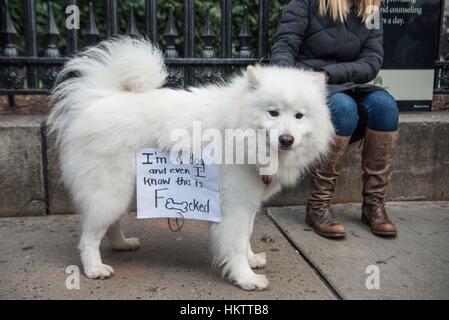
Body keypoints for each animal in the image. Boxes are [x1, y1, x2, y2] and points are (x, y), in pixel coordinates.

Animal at [48, 37, 332, 290]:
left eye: (299, 116)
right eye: (273, 113)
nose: (287, 139)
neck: (239, 131)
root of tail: (96, 98)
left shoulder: (249, 202)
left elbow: (247, 236)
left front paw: (252, 260)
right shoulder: (235, 205)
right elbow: (236, 244)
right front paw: (246, 279)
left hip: (123, 191)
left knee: (110, 226)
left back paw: (122, 244)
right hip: (110, 191)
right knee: (89, 236)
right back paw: (94, 268)